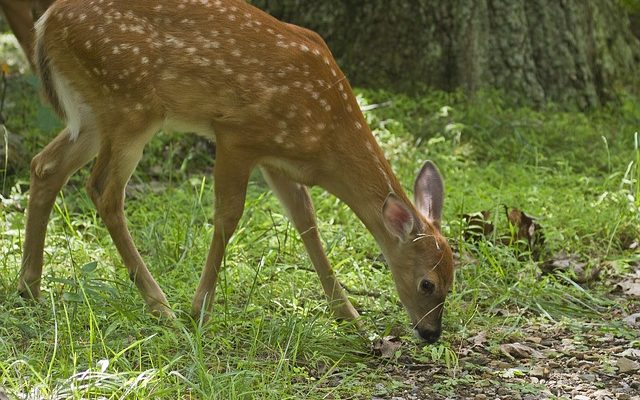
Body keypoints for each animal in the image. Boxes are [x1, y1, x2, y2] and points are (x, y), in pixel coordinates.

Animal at [20, 0, 456, 344]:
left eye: (453, 281)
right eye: (427, 283)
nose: (431, 333)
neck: (326, 135)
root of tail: (46, 22)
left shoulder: (278, 161)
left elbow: (307, 223)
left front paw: (350, 317)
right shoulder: (238, 134)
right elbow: (228, 217)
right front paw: (200, 310)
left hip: (94, 114)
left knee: (44, 166)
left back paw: (28, 288)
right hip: (130, 105)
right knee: (103, 189)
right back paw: (162, 307)